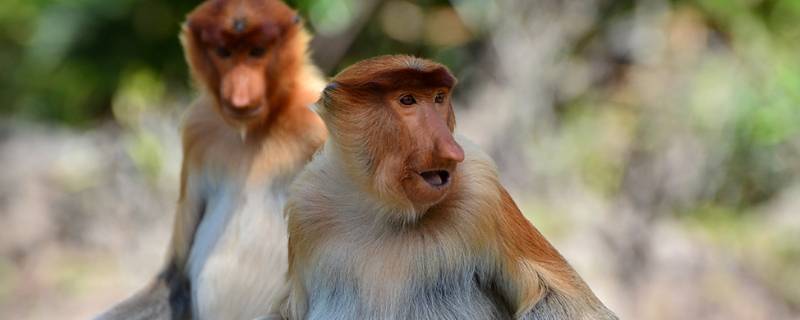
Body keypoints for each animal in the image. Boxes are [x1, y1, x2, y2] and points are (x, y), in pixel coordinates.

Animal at [98, 1, 326, 318]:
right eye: (224, 52)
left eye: (257, 51)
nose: (240, 95)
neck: (255, 131)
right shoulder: (199, 129)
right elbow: (175, 278)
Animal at [282, 55, 620, 320]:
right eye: (407, 100)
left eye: (439, 98)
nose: (450, 149)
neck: (386, 212)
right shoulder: (305, 208)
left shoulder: (483, 192)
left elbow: (566, 300)